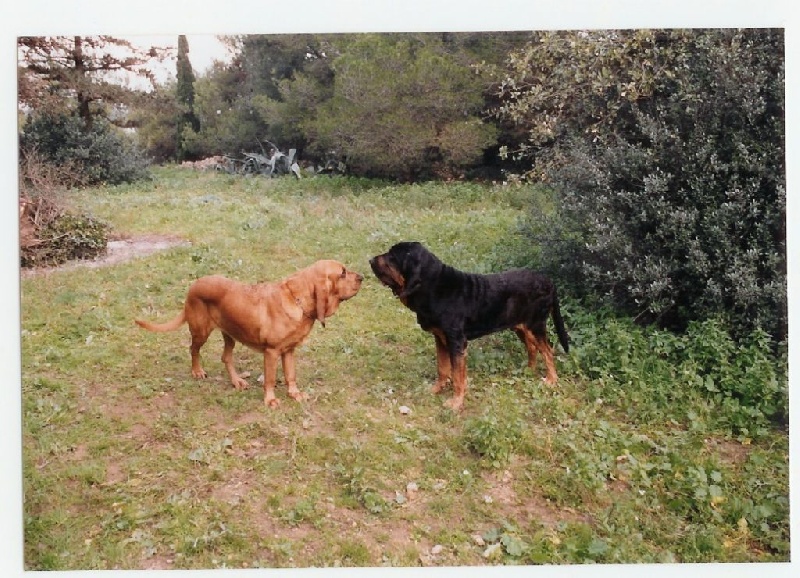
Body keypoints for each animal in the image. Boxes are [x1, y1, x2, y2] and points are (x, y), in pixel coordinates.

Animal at [137, 258, 362, 408]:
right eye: (342, 273)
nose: (362, 277)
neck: (298, 300)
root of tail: (193, 286)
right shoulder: (271, 352)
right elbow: (270, 379)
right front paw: (270, 400)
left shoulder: (289, 351)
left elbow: (291, 376)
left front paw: (295, 395)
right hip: (201, 331)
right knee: (193, 349)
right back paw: (197, 371)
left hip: (230, 335)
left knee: (226, 357)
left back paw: (237, 381)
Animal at [368, 241, 568, 412]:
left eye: (392, 256)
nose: (370, 260)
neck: (433, 286)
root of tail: (549, 282)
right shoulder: (440, 338)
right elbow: (442, 368)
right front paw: (435, 390)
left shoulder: (456, 342)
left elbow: (457, 375)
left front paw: (456, 402)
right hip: (521, 327)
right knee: (532, 347)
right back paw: (528, 370)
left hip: (536, 325)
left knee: (547, 351)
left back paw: (551, 380)